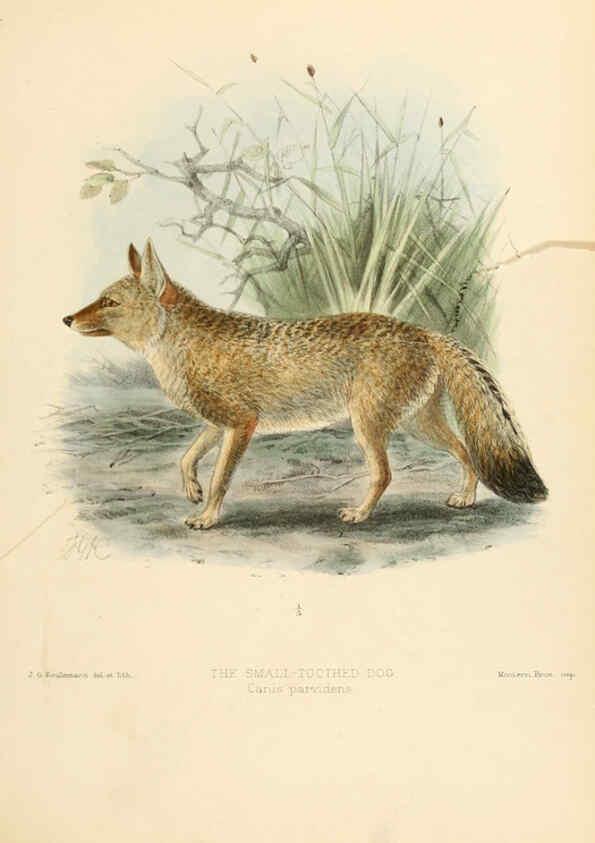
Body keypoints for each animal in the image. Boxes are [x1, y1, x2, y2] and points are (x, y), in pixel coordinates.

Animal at [63, 239, 547, 530]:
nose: (66, 318)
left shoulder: (241, 424)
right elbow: (185, 458)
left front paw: (208, 516)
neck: (179, 344)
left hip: (369, 427)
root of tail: (423, 331)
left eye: (109, 302)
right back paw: (465, 498)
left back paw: (360, 514)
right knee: (465, 451)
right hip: (415, 425)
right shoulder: (217, 423)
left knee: (386, 473)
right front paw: (191, 490)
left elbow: (221, 477)